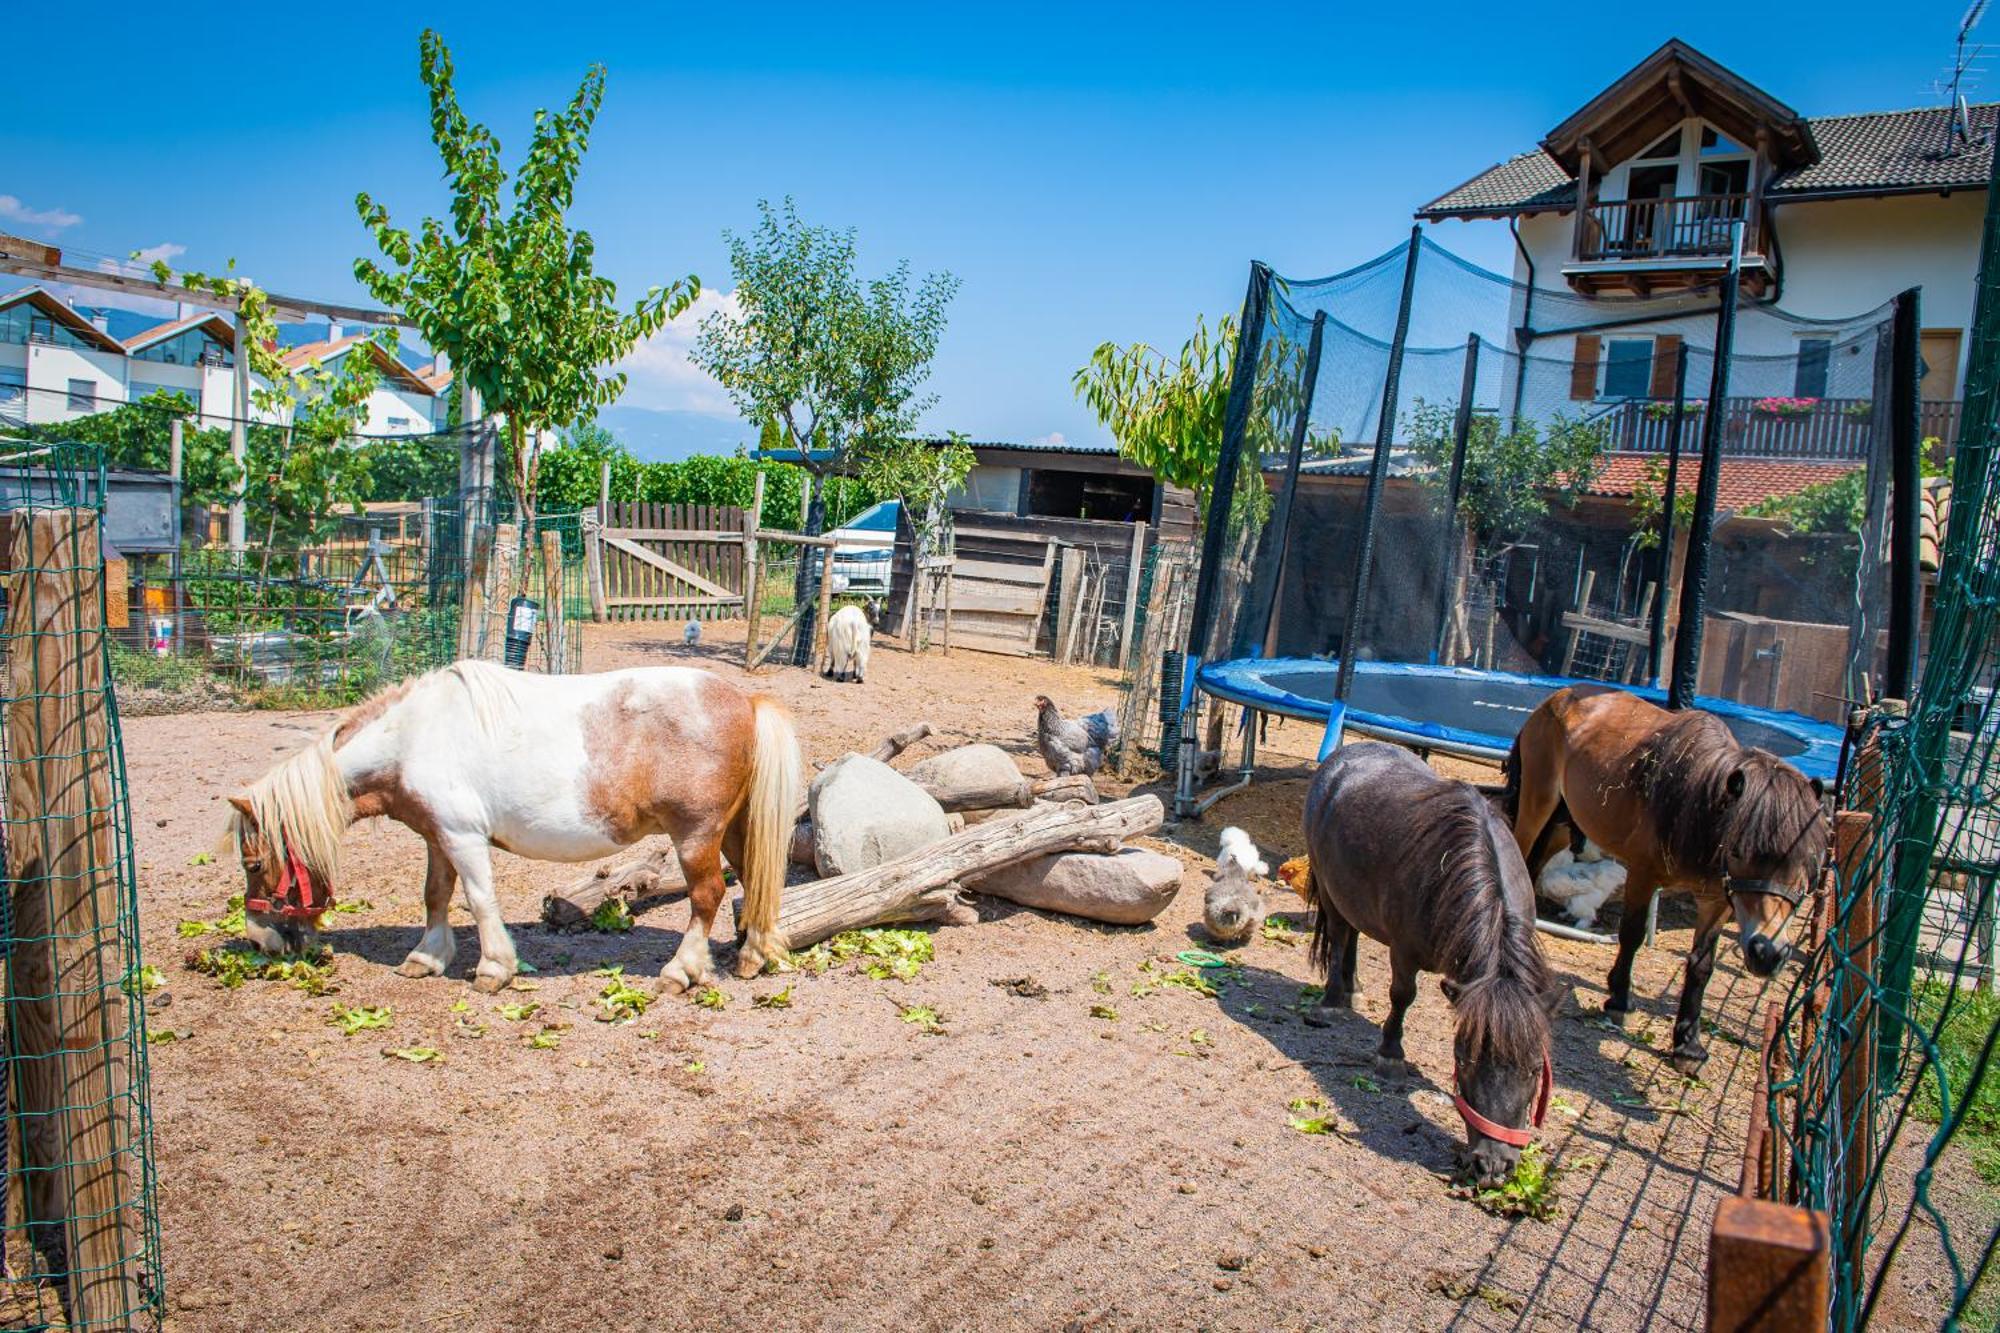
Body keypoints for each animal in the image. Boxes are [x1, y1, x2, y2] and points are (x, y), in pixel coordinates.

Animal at [1296, 736, 1560, 1184]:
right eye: (1463, 1060)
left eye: (1533, 1069)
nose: (1493, 1165)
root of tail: (1343, 757)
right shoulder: (1404, 951)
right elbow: (1402, 996)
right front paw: (1390, 1056)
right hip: (1329, 887)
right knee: (1340, 936)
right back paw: (1332, 1001)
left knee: (1353, 934)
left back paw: (1353, 989)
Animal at [1504, 684, 1832, 1072]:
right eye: (1739, 850)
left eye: (1807, 862)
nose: (1767, 953)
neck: (1695, 805)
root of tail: (1561, 696)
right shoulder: (1643, 874)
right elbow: (1631, 935)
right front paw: (1618, 1000)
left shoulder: (1717, 900)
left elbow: (1702, 965)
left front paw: (1688, 1044)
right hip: (1538, 801)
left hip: (1565, 816)